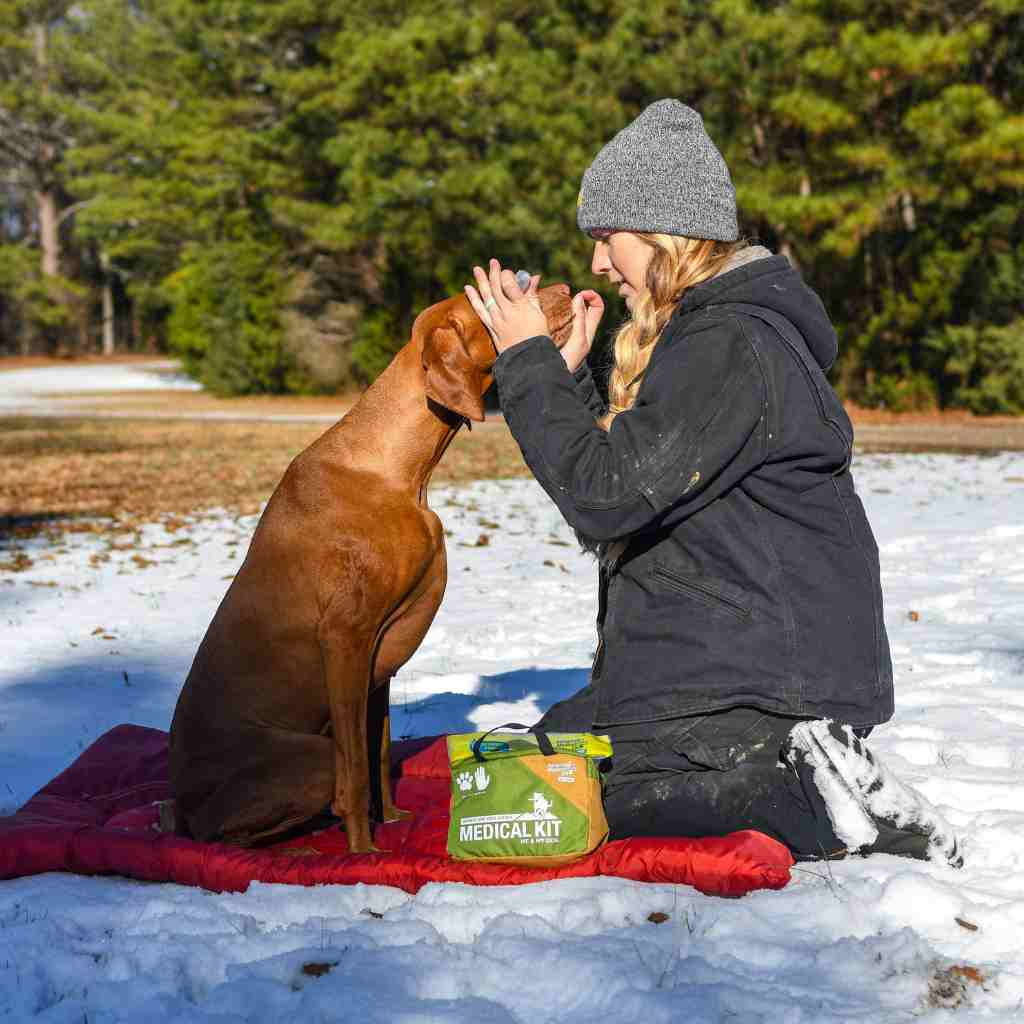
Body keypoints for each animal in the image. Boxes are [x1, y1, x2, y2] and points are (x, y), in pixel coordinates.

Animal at [165, 286, 569, 847]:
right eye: (503, 293)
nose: (566, 289)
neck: (398, 472)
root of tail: (181, 805)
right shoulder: (345, 637)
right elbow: (354, 771)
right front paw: (363, 850)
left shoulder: (378, 654)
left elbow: (377, 750)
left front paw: (393, 820)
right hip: (309, 756)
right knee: (230, 837)